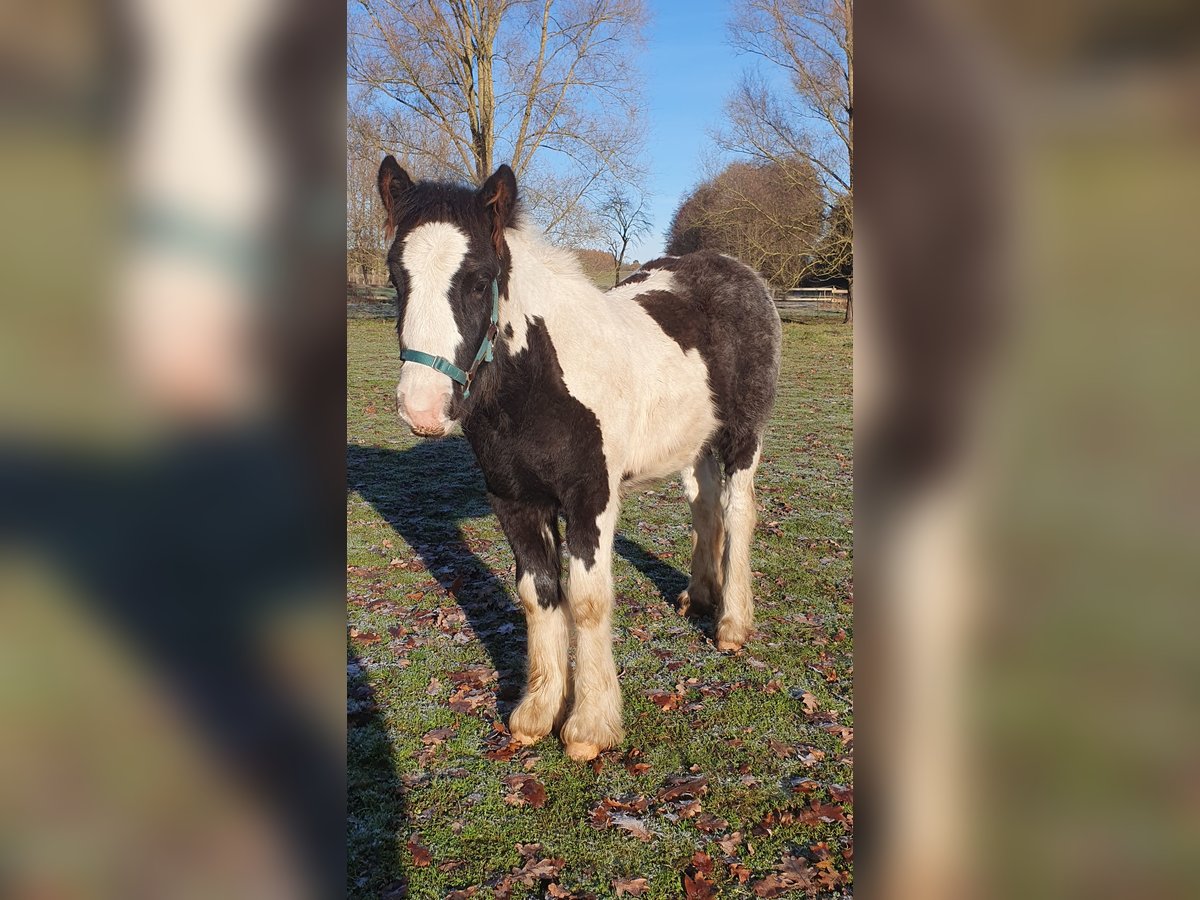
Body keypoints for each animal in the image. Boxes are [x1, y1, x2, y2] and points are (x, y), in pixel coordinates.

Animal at [376, 157, 782, 761]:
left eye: (478, 279)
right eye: (394, 278)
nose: (421, 406)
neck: (541, 382)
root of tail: (740, 272)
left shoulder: (591, 498)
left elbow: (587, 600)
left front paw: (589, 726)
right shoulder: (515, 502)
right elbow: (538, 594)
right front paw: (536, 713)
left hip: (740, 439)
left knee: (737, 513)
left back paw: (732, 624)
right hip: (694, 442)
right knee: (704, 506)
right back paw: (699, 596)